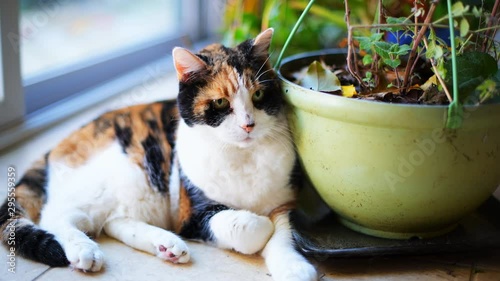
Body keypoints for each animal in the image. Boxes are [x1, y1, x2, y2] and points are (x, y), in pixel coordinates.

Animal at [0, 29, 316, 280]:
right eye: (220, 102)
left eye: (259, 95)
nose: (249, 125)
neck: (242, 157)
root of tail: (59, 145)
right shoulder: (193, 215)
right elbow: (252, 228)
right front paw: (259, 223)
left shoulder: (287, 200)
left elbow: (284, 234)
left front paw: (294, 268)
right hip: (116, 177)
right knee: (57, 214)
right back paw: (84, 250)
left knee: (115, 219)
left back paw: (166, 245)